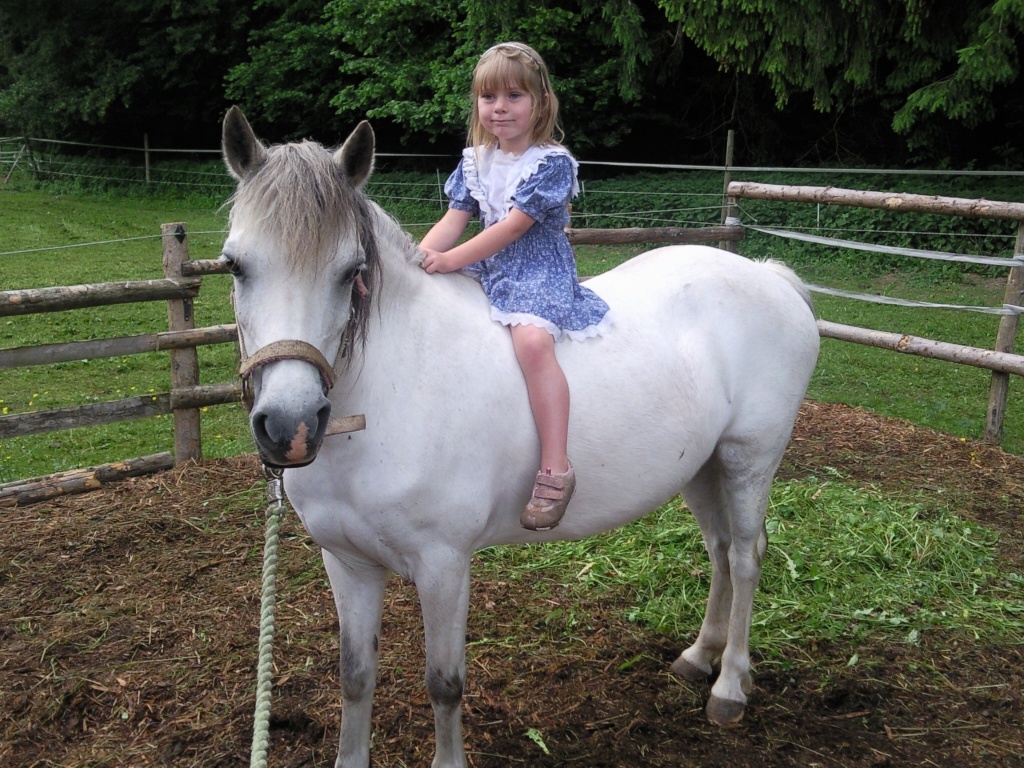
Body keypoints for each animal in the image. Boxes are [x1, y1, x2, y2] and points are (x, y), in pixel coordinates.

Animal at [220, 107, 819, 768]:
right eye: (234, 265)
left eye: (351, 272)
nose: (291, 425)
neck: (389, 393)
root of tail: (770, 279)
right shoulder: (347, 562)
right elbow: (354, 676)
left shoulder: (443, 566)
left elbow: (444, 684)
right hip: (701, 467)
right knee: (718, 548)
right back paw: (698, 659)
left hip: (748, 460)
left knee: (744, 556)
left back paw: (730, 685)